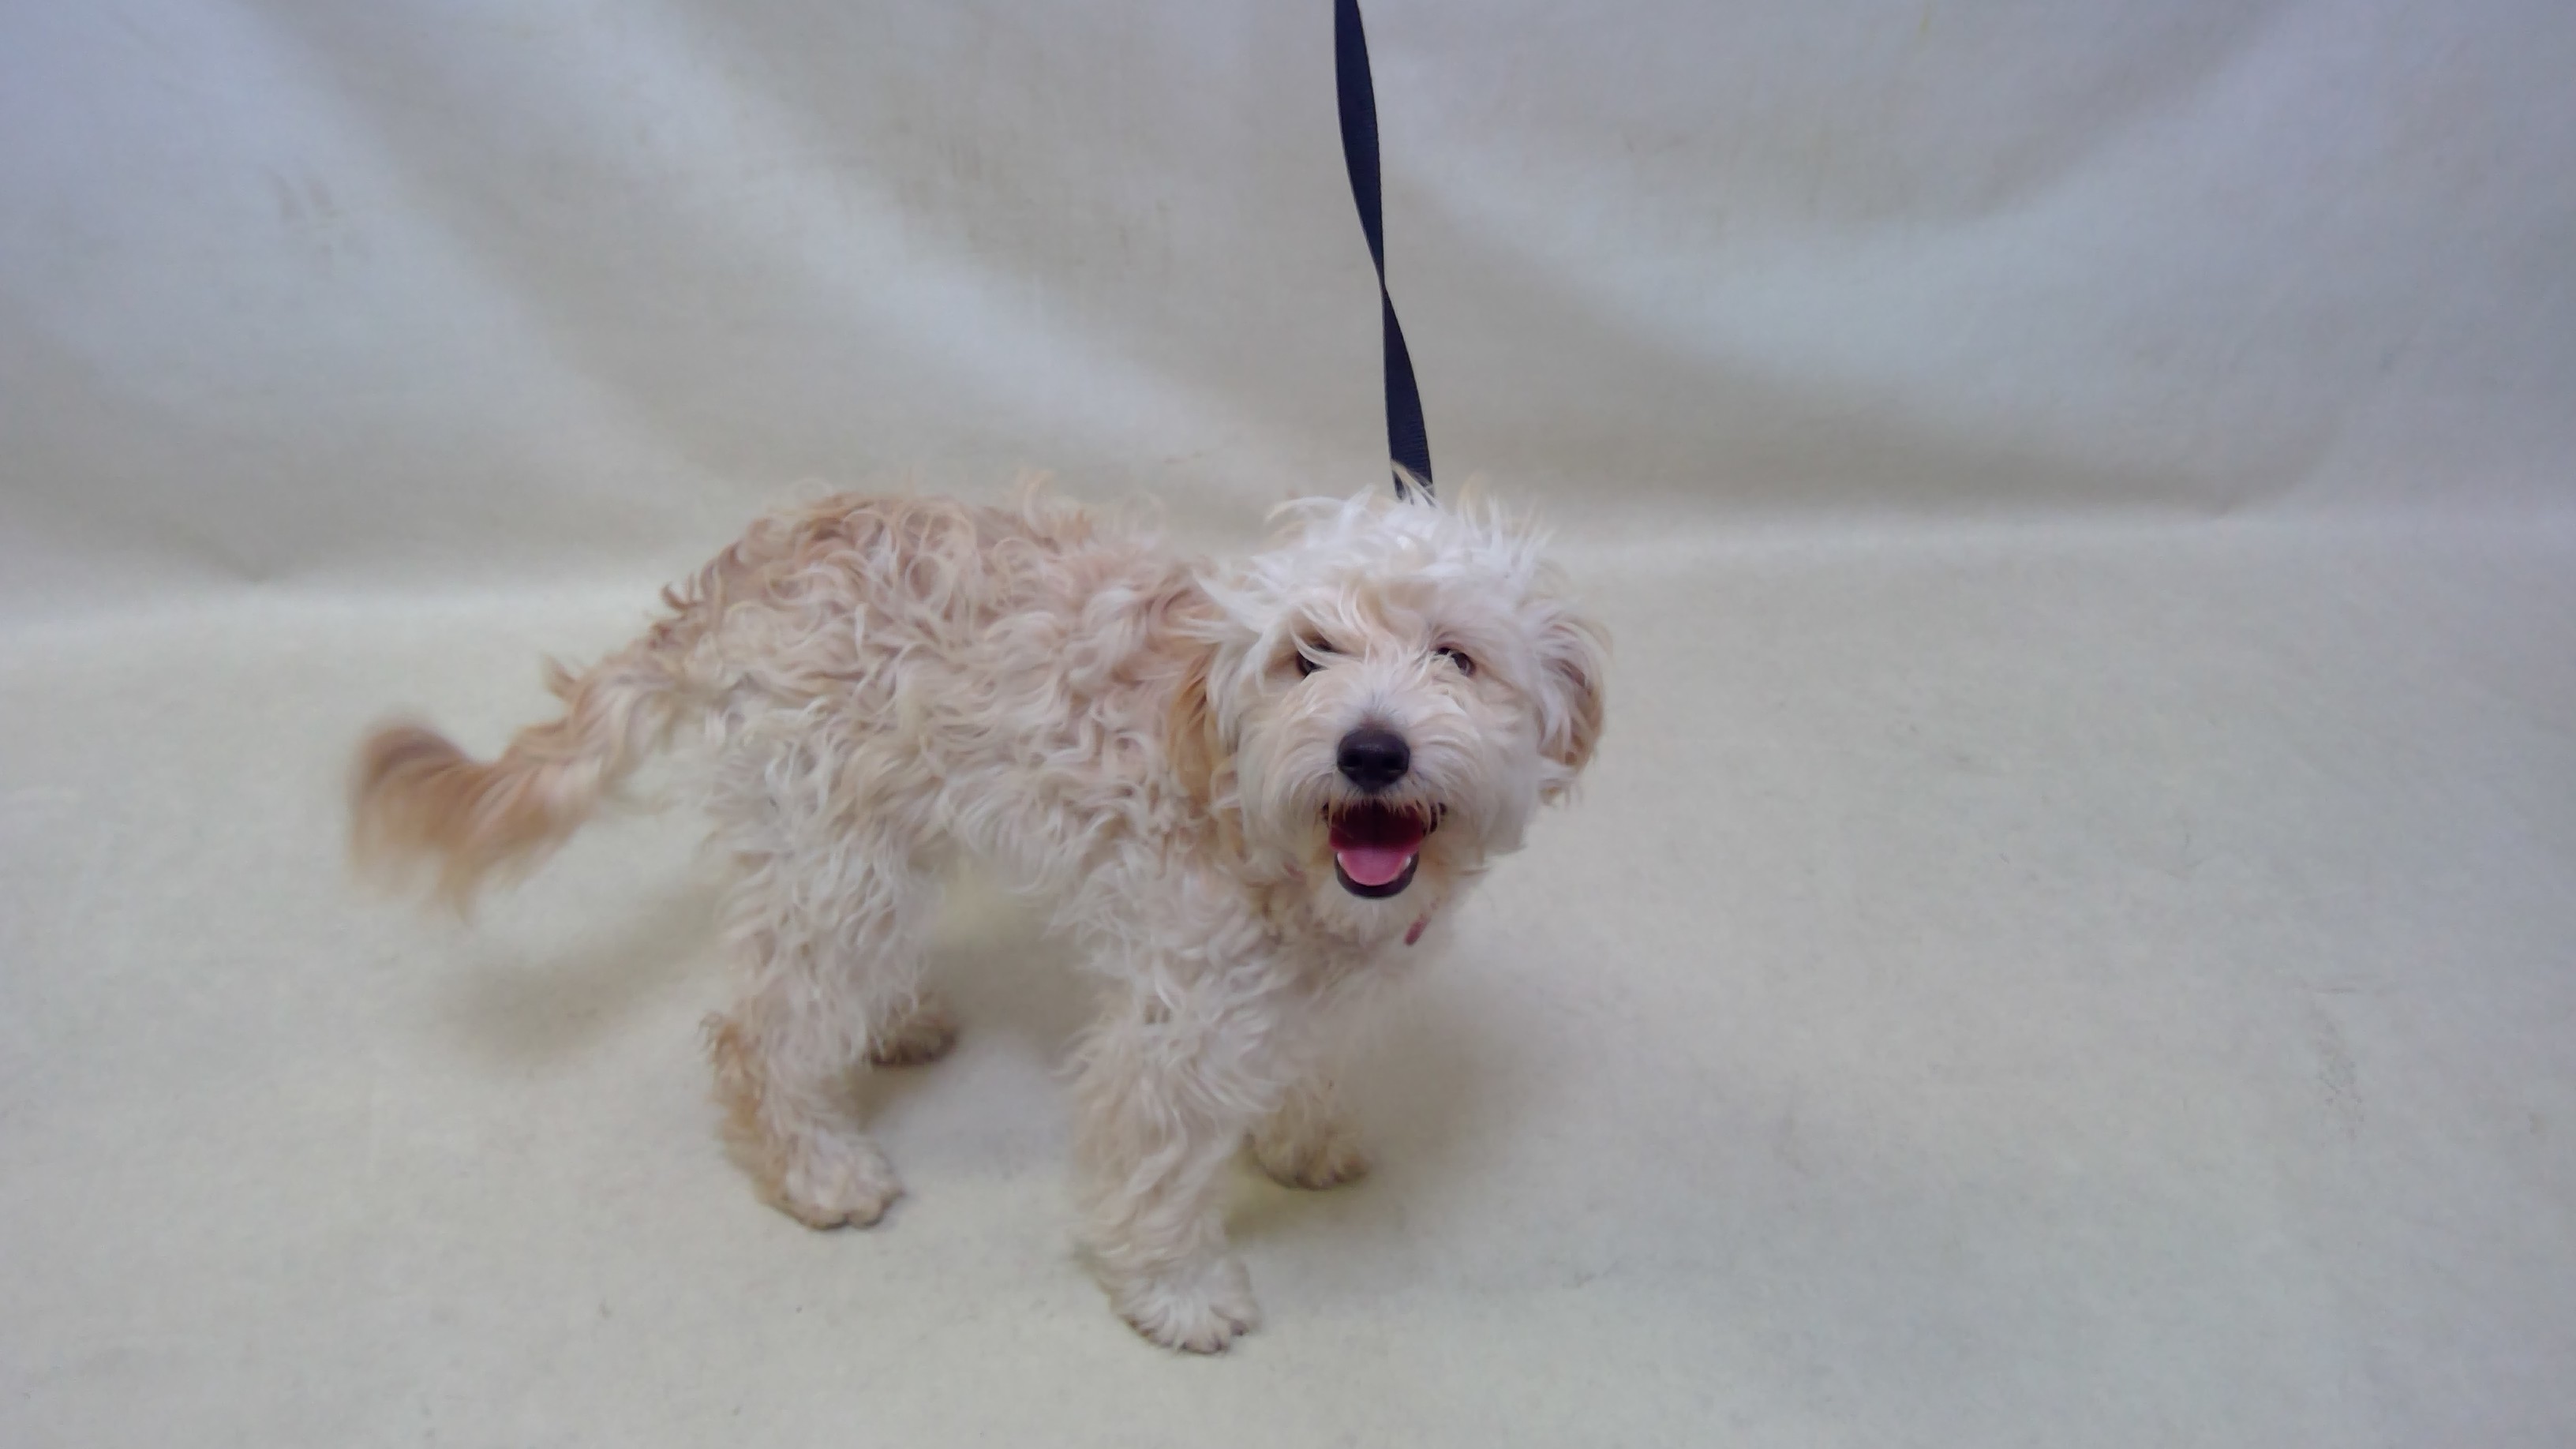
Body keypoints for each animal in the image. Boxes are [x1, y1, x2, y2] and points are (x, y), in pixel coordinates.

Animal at [350, 485, 1606, 1351]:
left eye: (1456, 656)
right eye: (1308, 657)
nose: (1371, 751)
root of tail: (747, 562)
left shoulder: (1314, 987)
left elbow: (1310, 1062)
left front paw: (1303, 1138)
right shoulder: (1173, 1023)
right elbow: (1155, 1165)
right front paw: (1179, 1292)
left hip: (877, 842)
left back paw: (897, 1018)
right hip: (835, 858)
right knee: (760, 1030)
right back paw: (817, 1169)